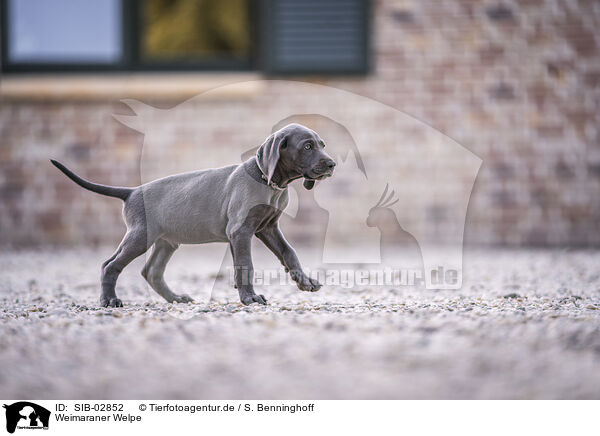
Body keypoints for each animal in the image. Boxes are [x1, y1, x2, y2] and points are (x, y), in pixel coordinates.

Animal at [52, 122, 338, 306]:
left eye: (323, 144)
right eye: (308, 146)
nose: (332, 165)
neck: (269, 183)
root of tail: (131, 192)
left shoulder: (267, 228)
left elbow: (289, 253)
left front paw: (305, 281)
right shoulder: (240, 230)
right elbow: (246, 264)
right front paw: (250, 298)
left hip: (166, 241)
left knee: (151, 271)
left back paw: (176, 299)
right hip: (141, 236)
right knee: (110, 265)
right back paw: (109, 300)